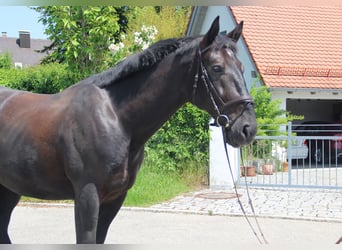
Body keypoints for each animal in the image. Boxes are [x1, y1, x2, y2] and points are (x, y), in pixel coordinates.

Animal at [0, 16, 256, 243]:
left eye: (242, 67)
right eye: (216, 68)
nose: (248, 128)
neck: (116, 119)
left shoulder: (115, 198)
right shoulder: (87, 196)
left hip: (10, 188)